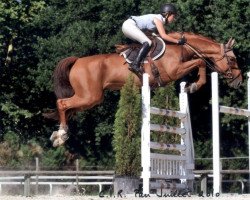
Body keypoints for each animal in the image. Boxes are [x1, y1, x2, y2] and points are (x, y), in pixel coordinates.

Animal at [45, 31, 242, 147]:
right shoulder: (174, 71)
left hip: (91, 98)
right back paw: (61, 134)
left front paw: (192, 85)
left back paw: (59, 134)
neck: (180, 47)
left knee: (67, 107)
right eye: (232, 59)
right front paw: (194, 85)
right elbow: (200, 61)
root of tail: (77, 61)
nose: (239, 81)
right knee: (62, 103)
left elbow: (199, 61)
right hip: (89, 96)